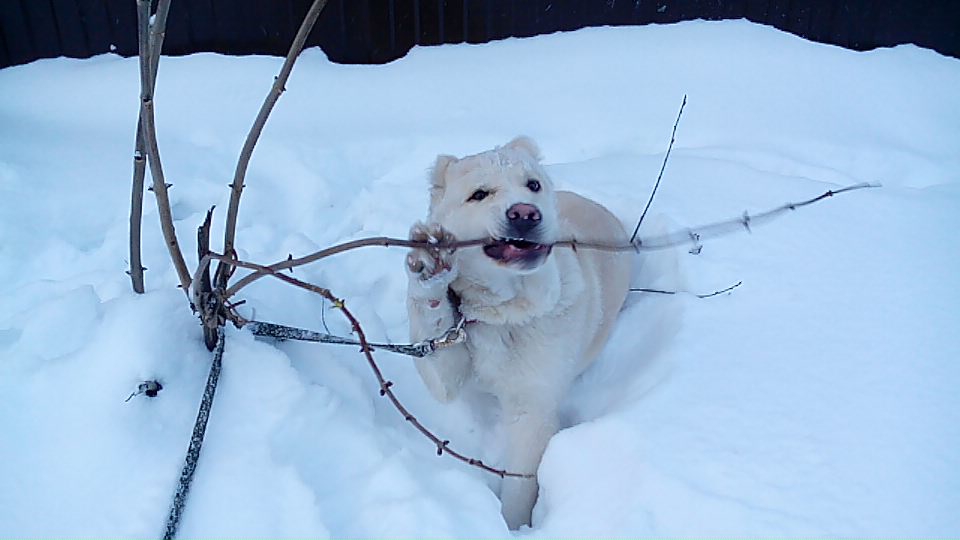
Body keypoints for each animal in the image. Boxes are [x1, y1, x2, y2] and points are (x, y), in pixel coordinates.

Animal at [406, 137, 636, 528]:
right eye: (479, 194)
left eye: (533, 185)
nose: (526, 214)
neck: (502, 314)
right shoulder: (445, 360)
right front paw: (429, 267)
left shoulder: (533, 408)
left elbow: (519, 483)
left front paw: (512, 527)